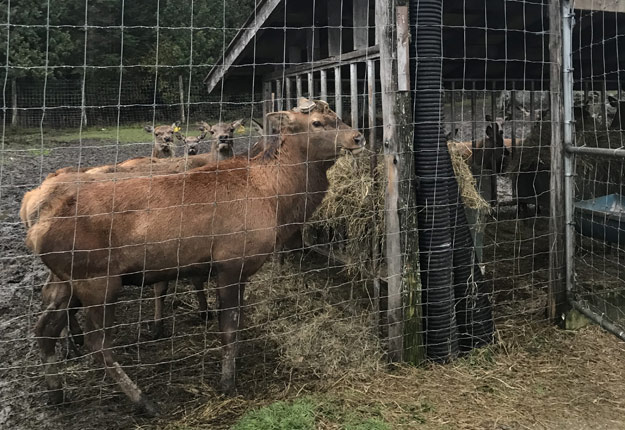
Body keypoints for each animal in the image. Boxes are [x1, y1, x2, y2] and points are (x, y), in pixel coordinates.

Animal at [22, 98, 364, 416]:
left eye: (338, 116)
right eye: (317, 122)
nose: (358, 137)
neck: (275, 200)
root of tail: (35, 228)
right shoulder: (230, 262)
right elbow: (229, 329)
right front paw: (227, 382)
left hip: (68, 279)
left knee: (44, 329)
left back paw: (56, 392)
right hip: (97, 279)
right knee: (97, 342)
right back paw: (144, 400)